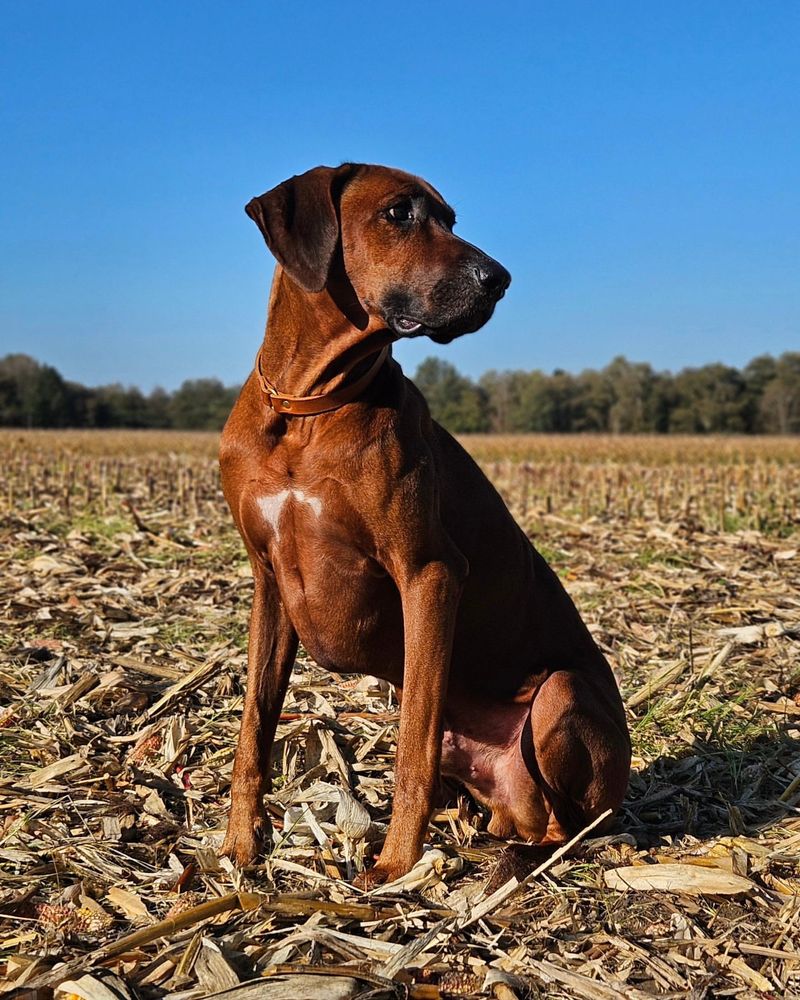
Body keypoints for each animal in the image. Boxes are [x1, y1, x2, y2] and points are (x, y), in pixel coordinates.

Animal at [219, 164, 632, 884]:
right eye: (398, 213)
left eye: (451, 218)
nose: (499, 278)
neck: (307, 408)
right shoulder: (268, 582)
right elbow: (254, 729)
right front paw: (241, 846)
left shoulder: (430, 574)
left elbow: (412, 744)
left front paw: (395, 866)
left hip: (561, 693)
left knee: (573, 827)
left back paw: (516, 858)